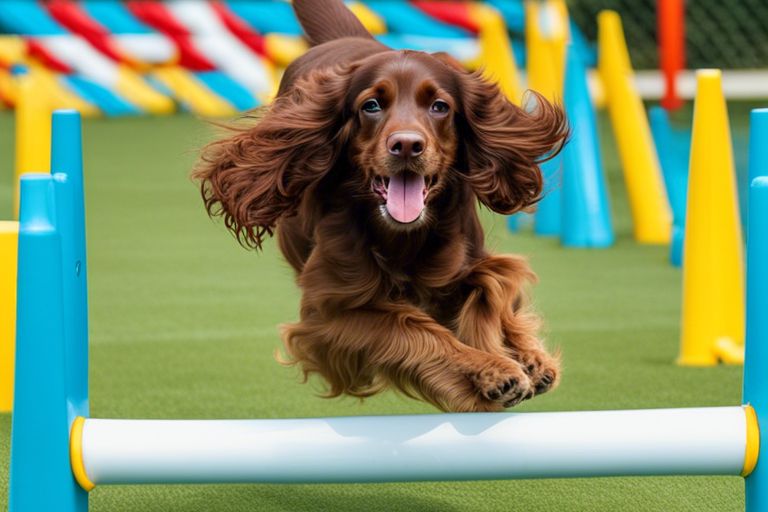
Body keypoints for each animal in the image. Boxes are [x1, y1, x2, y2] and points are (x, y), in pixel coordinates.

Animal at [195, 0, 568, 412]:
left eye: (440, 106)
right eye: (371, 105)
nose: (406, 145)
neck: (401, 233)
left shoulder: (471, 258)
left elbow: (494, 286)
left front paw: (509, 358)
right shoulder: (328, 312)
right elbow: (412, 327)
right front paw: (491, 371)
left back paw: (534, 360)